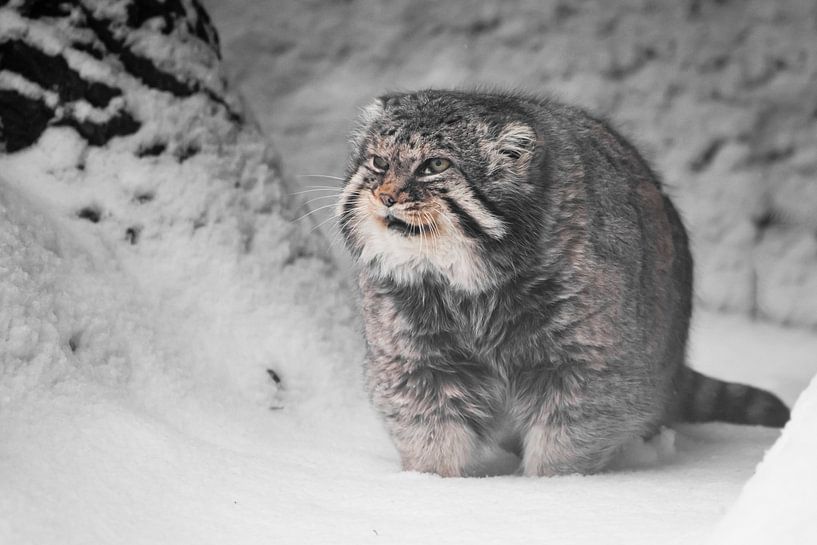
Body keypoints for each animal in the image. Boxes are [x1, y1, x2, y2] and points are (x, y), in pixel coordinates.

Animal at [334, 90, 788, 476]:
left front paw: (554, 488)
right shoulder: (415, 359)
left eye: (435, 165)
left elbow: (566, 440)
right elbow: (430, 432)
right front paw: (431, 484)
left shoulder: (587, 365)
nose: (386, 196)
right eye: (378, 162)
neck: (468, 284)